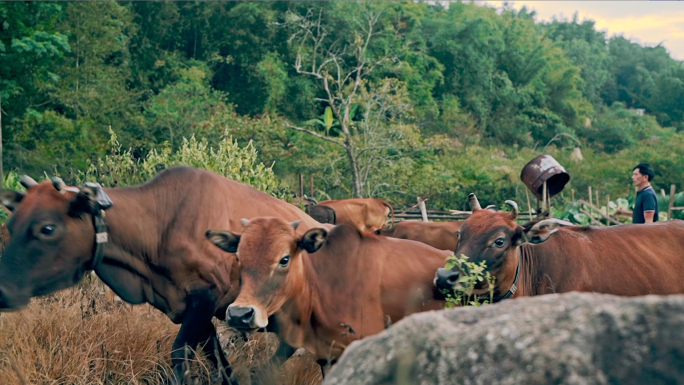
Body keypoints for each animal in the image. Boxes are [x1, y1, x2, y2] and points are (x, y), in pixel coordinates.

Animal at [0, 166, 318, 384]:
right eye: (12, 223)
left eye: (47, 228)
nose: (3, 291)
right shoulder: (191, 310)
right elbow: (219, 365)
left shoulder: (205, 297)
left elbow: (179, 353)